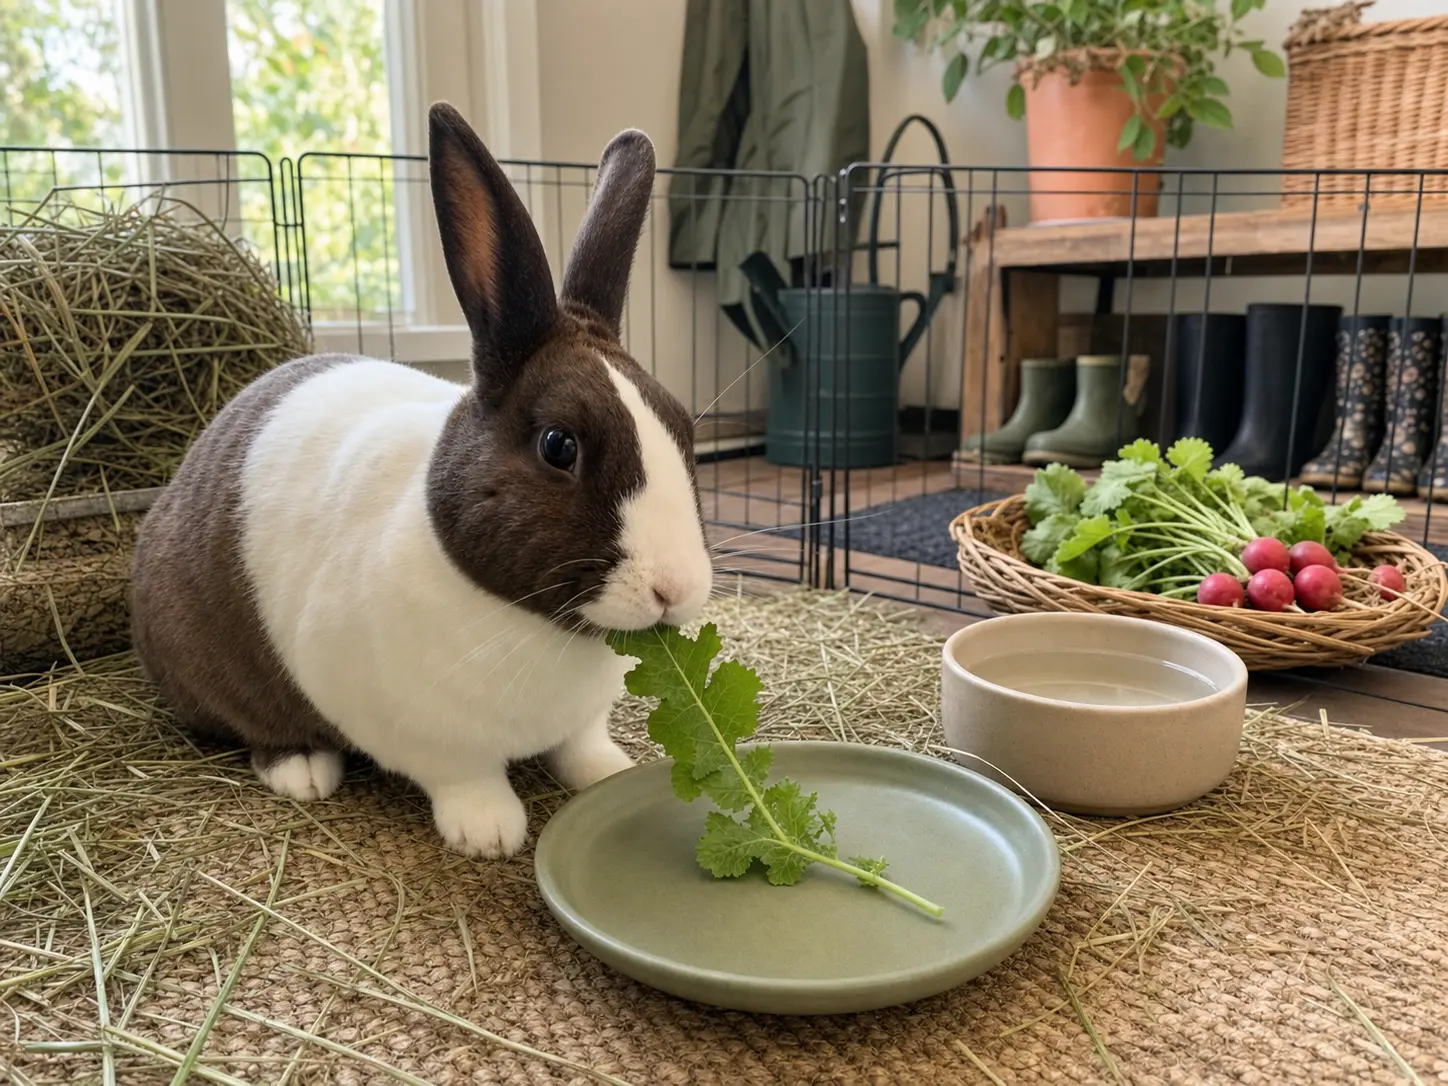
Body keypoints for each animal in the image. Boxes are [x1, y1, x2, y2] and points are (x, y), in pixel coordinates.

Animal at [129, 103, 713, 859]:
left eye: (684, 432)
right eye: (559, 446)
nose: (676, 591)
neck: (536, 625)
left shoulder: (579, 720)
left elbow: (581, 747)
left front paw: (611, 773)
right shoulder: (421, 734)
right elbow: (466, 778)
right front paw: (489, 834)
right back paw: (303, 771)